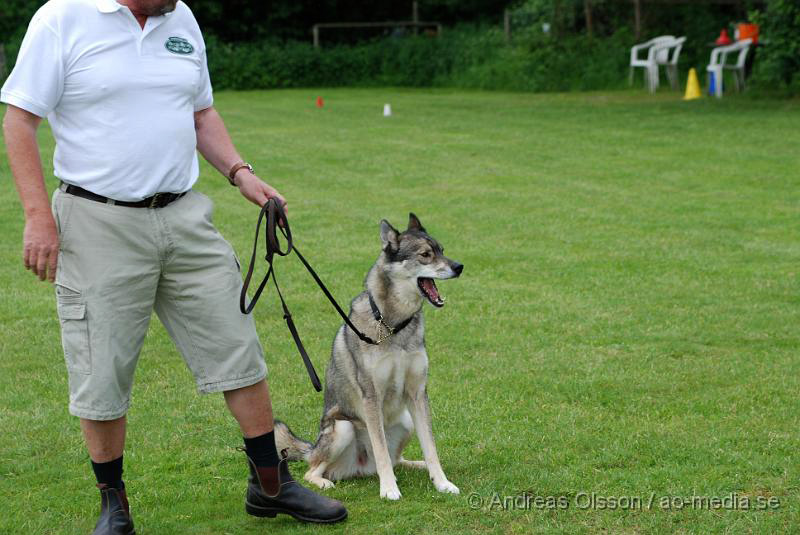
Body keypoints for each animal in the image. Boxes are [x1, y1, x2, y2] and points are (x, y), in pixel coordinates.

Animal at [276, 211, 462, 500]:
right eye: (425, 254)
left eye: (442, 250)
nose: (459, 266)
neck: (394, 327)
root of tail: (362, 468)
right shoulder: (371, 396)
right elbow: (381, 447)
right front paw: (389, 490)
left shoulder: (418, 393)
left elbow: (431, 448)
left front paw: (442, 483)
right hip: (343, 428)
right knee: (313, 470)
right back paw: (326, 482)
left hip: (406, 420)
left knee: (397, 460)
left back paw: (416, 465)